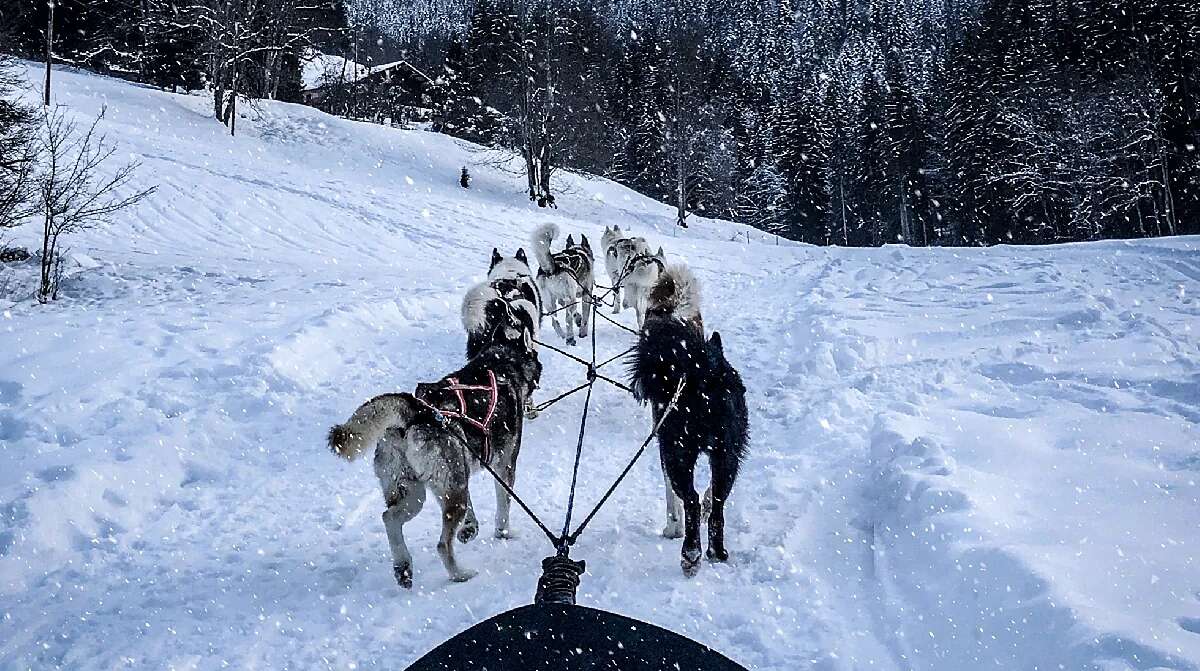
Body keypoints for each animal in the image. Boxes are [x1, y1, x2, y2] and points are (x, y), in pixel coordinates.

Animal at [324, 289, 540, 588]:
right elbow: (503, 506)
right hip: (446, 492)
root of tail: (416, 411)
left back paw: (403, 566)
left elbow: (472, 511)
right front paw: (503, 533)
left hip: (415, 491)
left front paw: (470, 529)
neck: (500, 364)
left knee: (389, 517)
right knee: (441, 545)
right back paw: (459, 574)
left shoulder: (461, 475)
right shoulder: (504, 465)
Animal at [633, 266, 744, 578]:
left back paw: (690, 554)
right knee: (717, 502)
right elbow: (709, 497)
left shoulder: (663, 444)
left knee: (691, 499)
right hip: (727, 455)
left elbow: (673, 496)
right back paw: (715, 551)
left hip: (678, 451)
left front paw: (673, 527)